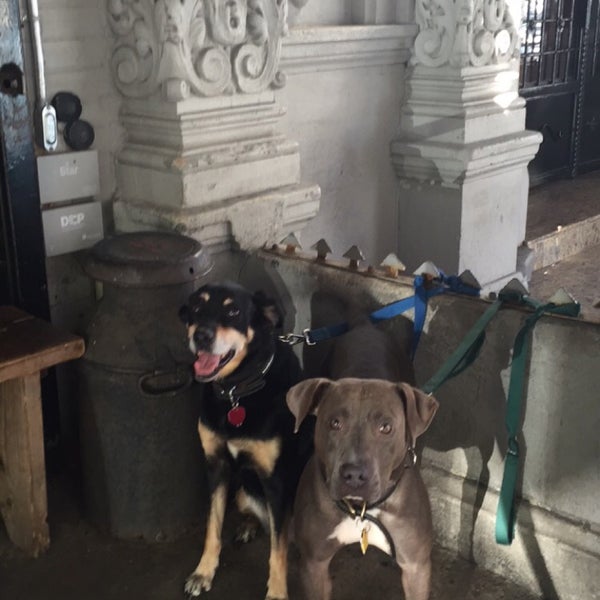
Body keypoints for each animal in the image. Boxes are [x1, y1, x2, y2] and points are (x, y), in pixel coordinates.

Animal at [178, 282, 310, 600]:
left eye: (234, 311)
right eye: (197, 306)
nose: (201, 336)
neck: (236, 391)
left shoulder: (276, 480)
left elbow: (278, 551)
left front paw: (277, 592)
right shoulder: (216, 465)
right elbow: (212, 526)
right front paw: (203, 572)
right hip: (241, 489)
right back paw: (249, 525)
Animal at [284, 324, 436, 600]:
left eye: (386, 427)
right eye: (334, 423)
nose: (353, 474)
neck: (362, 510)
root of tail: (366, 325)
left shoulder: (416, 567)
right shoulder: (314, 566)